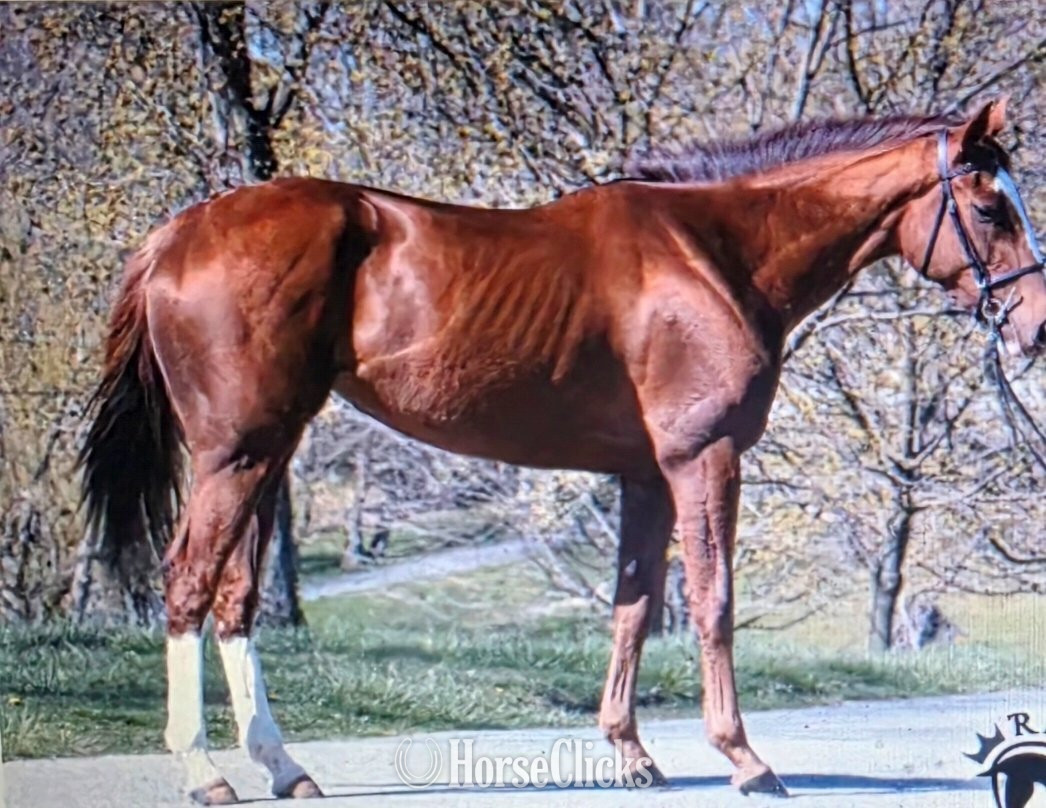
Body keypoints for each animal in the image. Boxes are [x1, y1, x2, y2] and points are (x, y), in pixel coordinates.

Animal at [80, 98, 1046, 803]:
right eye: (990, 205)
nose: (1033, 328)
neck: (717, 255)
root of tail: (178, 234)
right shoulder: (704, 459)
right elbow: (712, 602)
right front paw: (744, 760)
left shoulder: (646, 476)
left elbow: (633, 605)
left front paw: (631, 754)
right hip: (235, 452)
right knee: (188, 582)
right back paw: (203, 772)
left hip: (268, 452)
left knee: (235, 597)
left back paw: (285, 770)